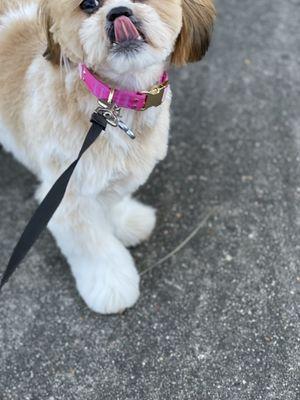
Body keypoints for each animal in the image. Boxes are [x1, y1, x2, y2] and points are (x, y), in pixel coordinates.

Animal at [0, 0, 216, 312]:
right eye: (88, 5)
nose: (118, 11)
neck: (113, 102)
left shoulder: (114, 173)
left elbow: (112, 200)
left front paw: (126, 221)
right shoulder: (67, 194)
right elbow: (94, 244)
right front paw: (112, 285)